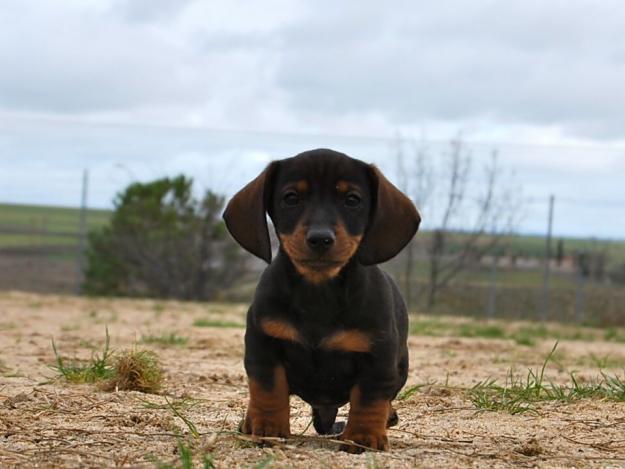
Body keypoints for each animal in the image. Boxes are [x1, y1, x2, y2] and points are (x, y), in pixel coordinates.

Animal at [222, 148, 422, 452]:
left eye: (352, 199)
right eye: (291, 197)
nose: (320, 239)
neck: (318, 293)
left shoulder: (378, 355)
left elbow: (370, 397)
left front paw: (363, 438)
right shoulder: (263, 343)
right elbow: (268, 390)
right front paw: (268, 429)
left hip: (400, 367)